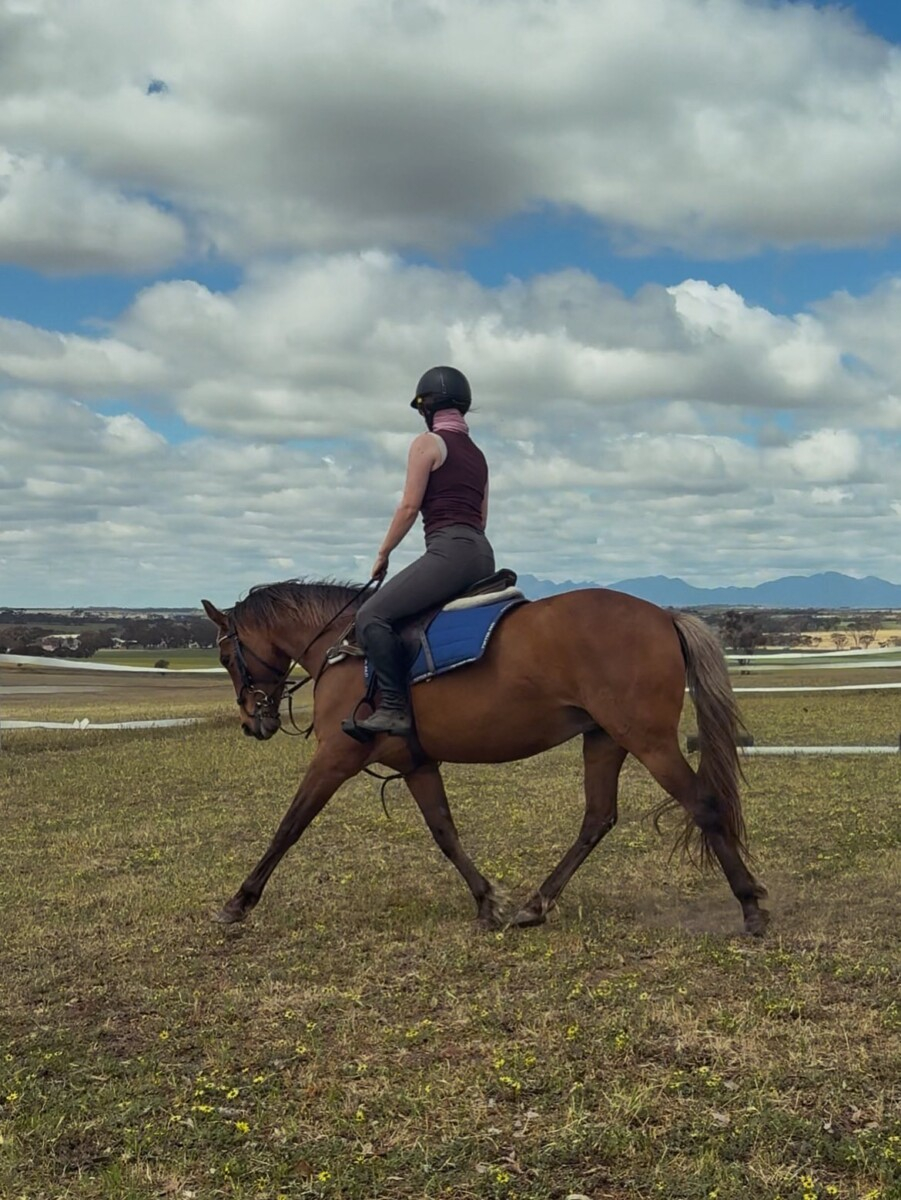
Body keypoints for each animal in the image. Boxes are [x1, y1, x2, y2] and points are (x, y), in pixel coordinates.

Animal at [201, 580, 768, 936]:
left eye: (227, 655)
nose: (254, 722)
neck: (345, 650)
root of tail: (663, 615)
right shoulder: (417, 764)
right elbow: (445, 833)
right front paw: (486, 902)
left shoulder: (336, 757)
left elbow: (288, 827)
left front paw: (239, 902)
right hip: (604, 739)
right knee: (597, 818)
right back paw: (535, 906)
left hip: (648, 741)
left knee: (703, 804)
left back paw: (750, 906)